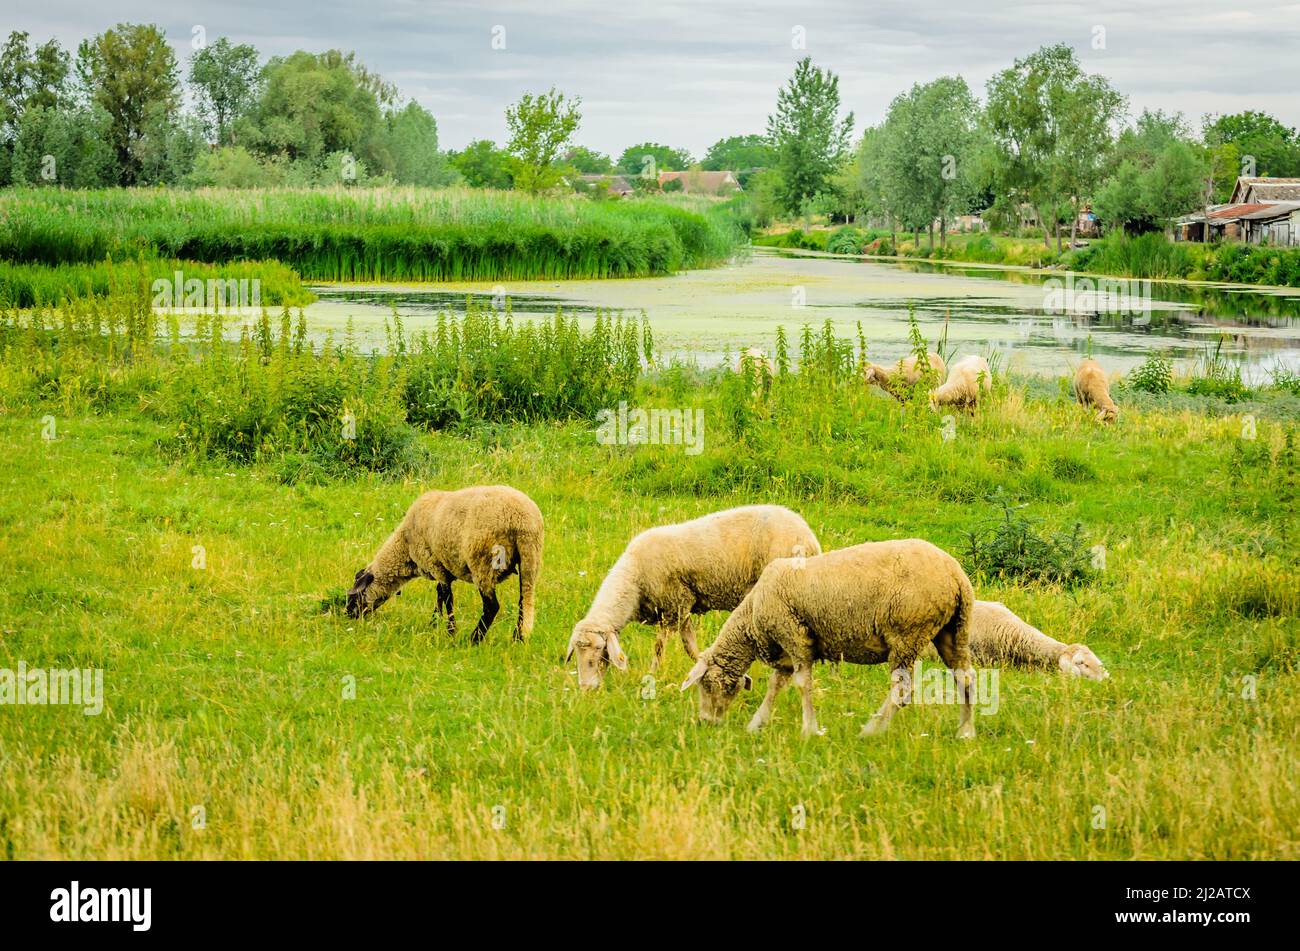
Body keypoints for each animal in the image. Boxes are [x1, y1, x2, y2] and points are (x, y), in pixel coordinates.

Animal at [346, 485, 543, 644]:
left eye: (355, 596)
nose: (347, 614)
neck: (405, 546)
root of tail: (521, 519)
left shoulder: (436, 565)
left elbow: (447, 597)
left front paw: (451, 631)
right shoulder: (444, 567)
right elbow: (440, 594)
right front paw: (434, 623)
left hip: (483, 561)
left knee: (491, 606)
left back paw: (474, 639)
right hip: (531, 559)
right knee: (524, 601)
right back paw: (518, 638)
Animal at [566, 505, 821, 689]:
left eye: (599, 650)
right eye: (576, 653)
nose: (586, 688)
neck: (633, 582)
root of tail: (809, 538)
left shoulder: (674, 605)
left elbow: (659, 648)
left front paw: (652, 674)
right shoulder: (684, 608)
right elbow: (690, 646)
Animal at [680, 539, 978, 739]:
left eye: (705, 684)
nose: (707, 722)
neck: (752, 614)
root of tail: (957, 576)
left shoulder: (795, 637)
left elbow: (803, 685)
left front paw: (809, 729)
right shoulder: (786, 649)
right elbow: (776, 686)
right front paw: (757, 723)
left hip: (908, 633)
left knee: (902, 689)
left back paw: (871, 730)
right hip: (952, 630)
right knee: (966, 678)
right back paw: (965, 731)